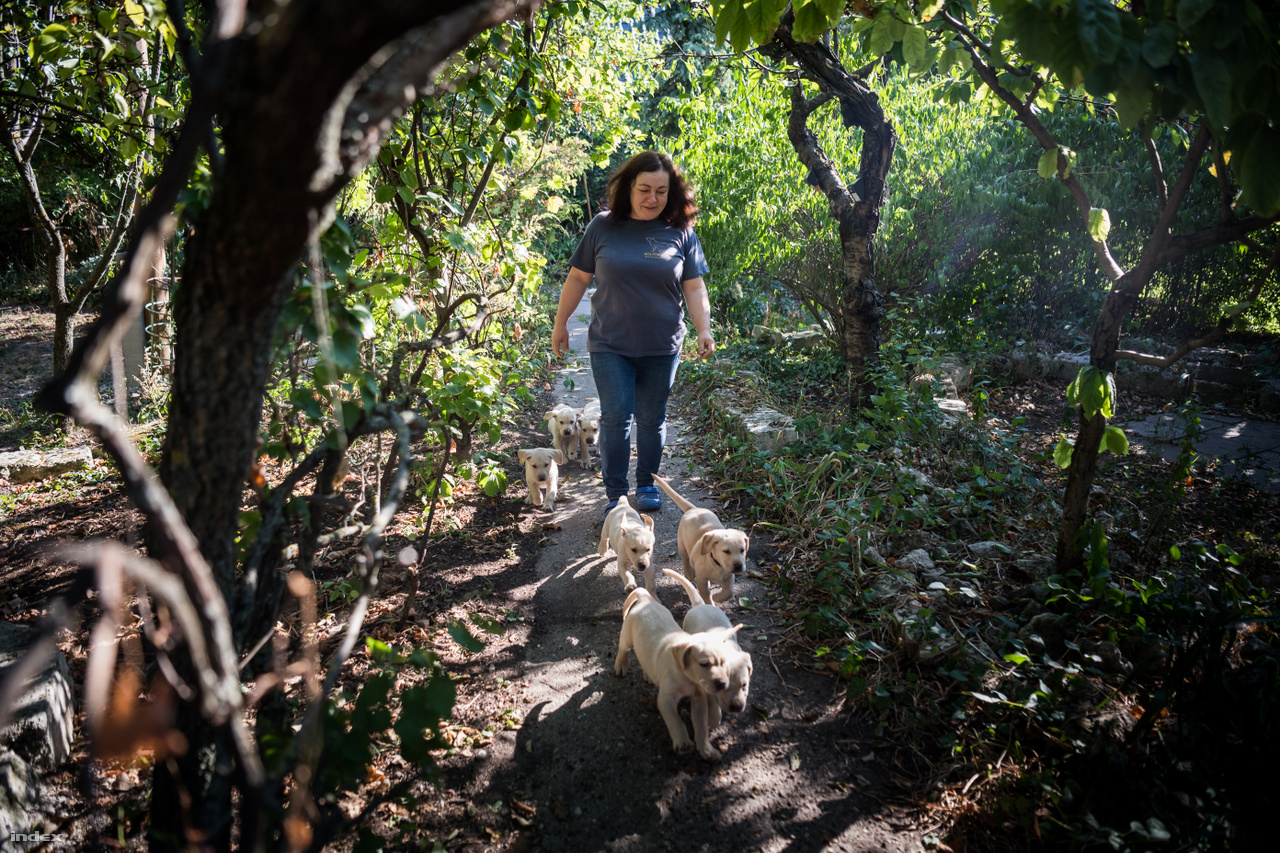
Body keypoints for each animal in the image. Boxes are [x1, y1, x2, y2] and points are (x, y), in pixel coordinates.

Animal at [611, 584, 742, 758]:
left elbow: (701, 727)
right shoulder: (666, 700)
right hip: (627, 635)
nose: (722, 683)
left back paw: (648, 675)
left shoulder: (699, 700)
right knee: (623, 649)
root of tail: (645, 600)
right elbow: (676, 721)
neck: (687, 677)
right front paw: (683, 743)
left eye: (724, 664)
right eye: (704, 664)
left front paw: (706, 750)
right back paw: (621, 665)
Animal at [650, 471, 747, 604]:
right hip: (681, 544)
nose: (738, 566)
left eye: (742, 550)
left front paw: (717, 597)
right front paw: (710, 602)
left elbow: (728, 592)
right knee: (685, 558)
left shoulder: (729, 576)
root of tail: (693, 509)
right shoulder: (702, 578)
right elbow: (705, 593)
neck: (717, 565)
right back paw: (689, 573)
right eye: (726, 551)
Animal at [665, 568, 752, 727]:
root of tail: (700, 605)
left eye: (744, 685)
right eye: (724, 687)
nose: (736, 707)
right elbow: (713, 703)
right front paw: (714, 718)